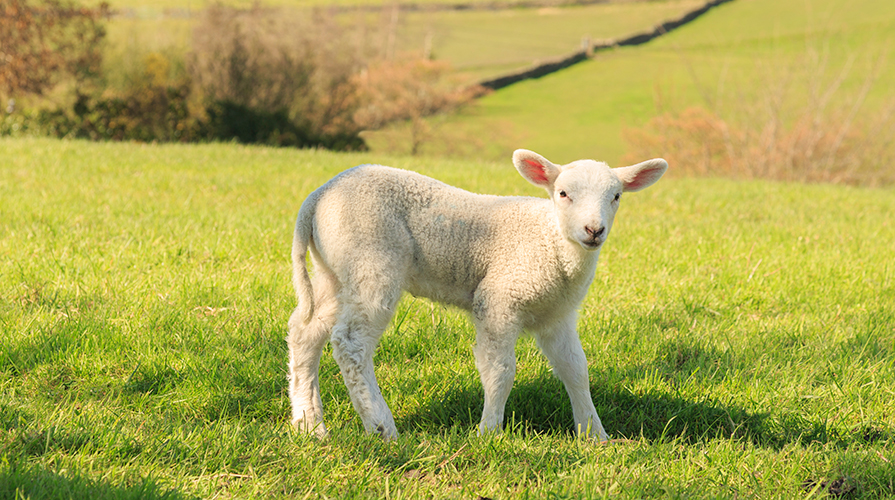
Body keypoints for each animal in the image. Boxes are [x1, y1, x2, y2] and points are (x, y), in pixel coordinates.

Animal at [286, 148, 664, 442]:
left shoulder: (557, 316)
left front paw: (594, 434)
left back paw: (309, 425)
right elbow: (500, 369)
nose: (593, 230)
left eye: (616, 197)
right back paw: (381, 427)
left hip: (335, 272)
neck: (550, 242)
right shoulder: (499, 300)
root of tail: (319, 196)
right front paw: (489, 432)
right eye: (563, 194)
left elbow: (576, 369)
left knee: (305, 332)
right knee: (350, 343)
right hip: (371, 259)